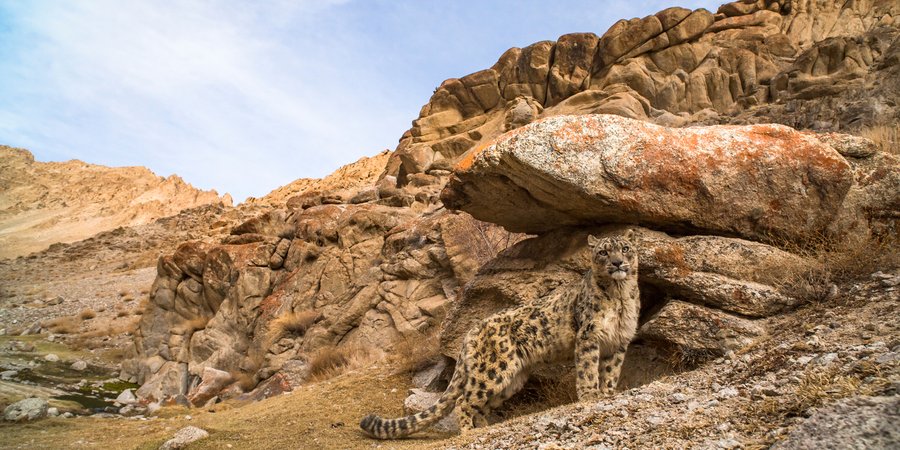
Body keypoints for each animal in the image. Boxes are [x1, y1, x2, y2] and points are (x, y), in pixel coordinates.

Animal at [360, 229, 641, 439]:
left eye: (625, 248)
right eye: (603, 251)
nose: (617, 262)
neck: (619, 295)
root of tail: (471, 332)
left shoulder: (618, 342)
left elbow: (610, 372)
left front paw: (608, 394)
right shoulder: (589, 337)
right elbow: (588, 370)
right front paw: (591, 396)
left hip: (510, 379)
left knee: (481, 406)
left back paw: (486, 427)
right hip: (492, 370)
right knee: (464, 401)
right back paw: (469, 432)